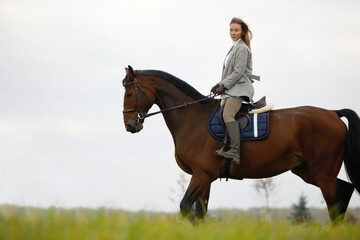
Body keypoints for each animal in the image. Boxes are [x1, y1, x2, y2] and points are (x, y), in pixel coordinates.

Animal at [122, 66, 360, 223]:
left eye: (130, 93)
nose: (129, 125)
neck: (192, 117)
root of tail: (333, 113)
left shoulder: (201, 175)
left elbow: (185, 208)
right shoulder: (204, 177)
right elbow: (200, 214)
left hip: (323, 173)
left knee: (335, 205)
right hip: (307, 170)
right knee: (344, 193)